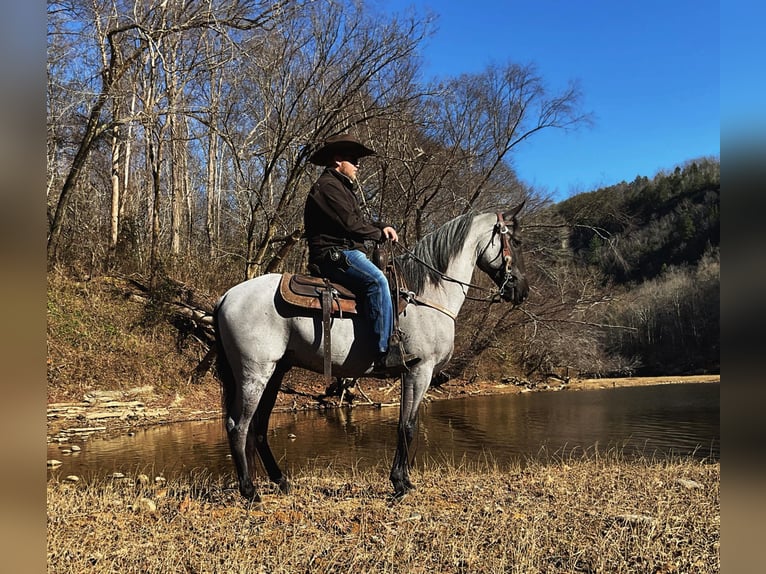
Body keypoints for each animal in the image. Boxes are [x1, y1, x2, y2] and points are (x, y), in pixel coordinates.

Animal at [213, 205, 532, 502]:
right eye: (515, 241)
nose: (522, 290)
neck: (426, 296)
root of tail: (226, 296)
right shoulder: (420, 371)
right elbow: (408, 426)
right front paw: (399, 484)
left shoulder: (409, 375)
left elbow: (407, 424)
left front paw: (405, 481)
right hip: (254, 372)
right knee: (239, 426)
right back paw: (250, 492)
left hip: (276, 372)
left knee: (258, 428)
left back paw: (280, 481)